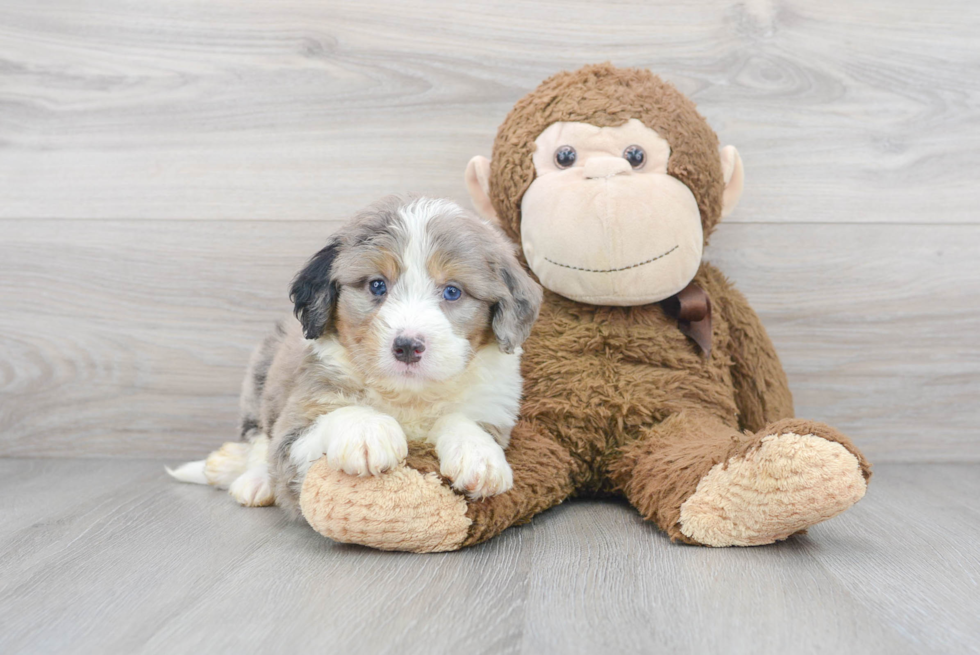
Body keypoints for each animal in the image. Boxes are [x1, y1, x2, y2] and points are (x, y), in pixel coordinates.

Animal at [172, 196, 548, 516]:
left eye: (453, 291)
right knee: (258, 439)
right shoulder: (296, 424)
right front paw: (367, 431)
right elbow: (334, 415)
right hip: (260, 376)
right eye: (377, 285)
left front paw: (479, 454)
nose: (407, 346)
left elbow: (464, 419)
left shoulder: (493, 407)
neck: (408, 396)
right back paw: (253, 480)